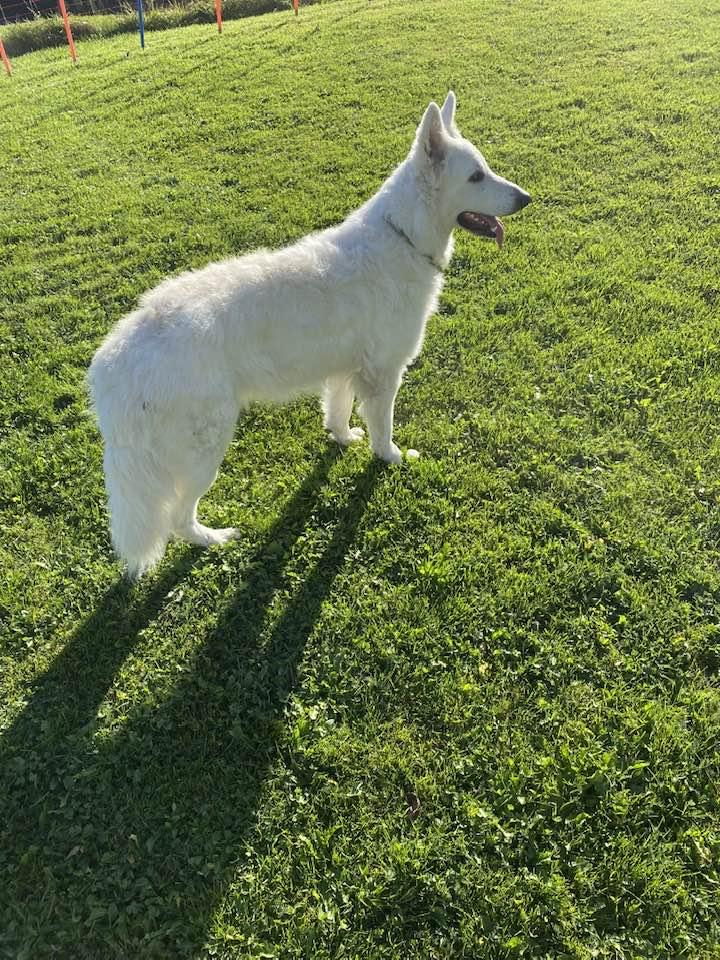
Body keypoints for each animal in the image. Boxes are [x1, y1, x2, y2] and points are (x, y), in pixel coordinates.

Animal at [88, 94, 528, 576]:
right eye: (476, 176)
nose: (526, 198)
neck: (403, 236)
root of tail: (115, 357)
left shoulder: (344, 372)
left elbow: (337, 413)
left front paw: (344, 439)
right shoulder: (383, 376)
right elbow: (384, 429)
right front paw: (391, 457)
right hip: (204, 451)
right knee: (177, 518)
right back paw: (212, 539)